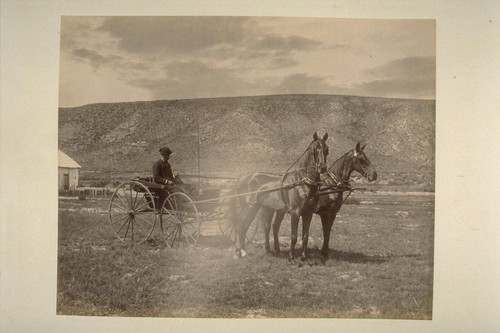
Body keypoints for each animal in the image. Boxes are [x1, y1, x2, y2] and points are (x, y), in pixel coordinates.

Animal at [230, 132, 328, 260]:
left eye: (326, 149)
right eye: (315, 150)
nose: (322, 168)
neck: (302, 182)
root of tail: (240, 178)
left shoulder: (308, 213)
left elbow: (305, 236)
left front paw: (303, 257)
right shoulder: (295, 213)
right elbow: (293, 236)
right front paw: (291, 257)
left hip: (255, 208)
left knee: (245, 226)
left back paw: (243, 250)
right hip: (248, 207)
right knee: (239, 225)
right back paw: (238, 252)